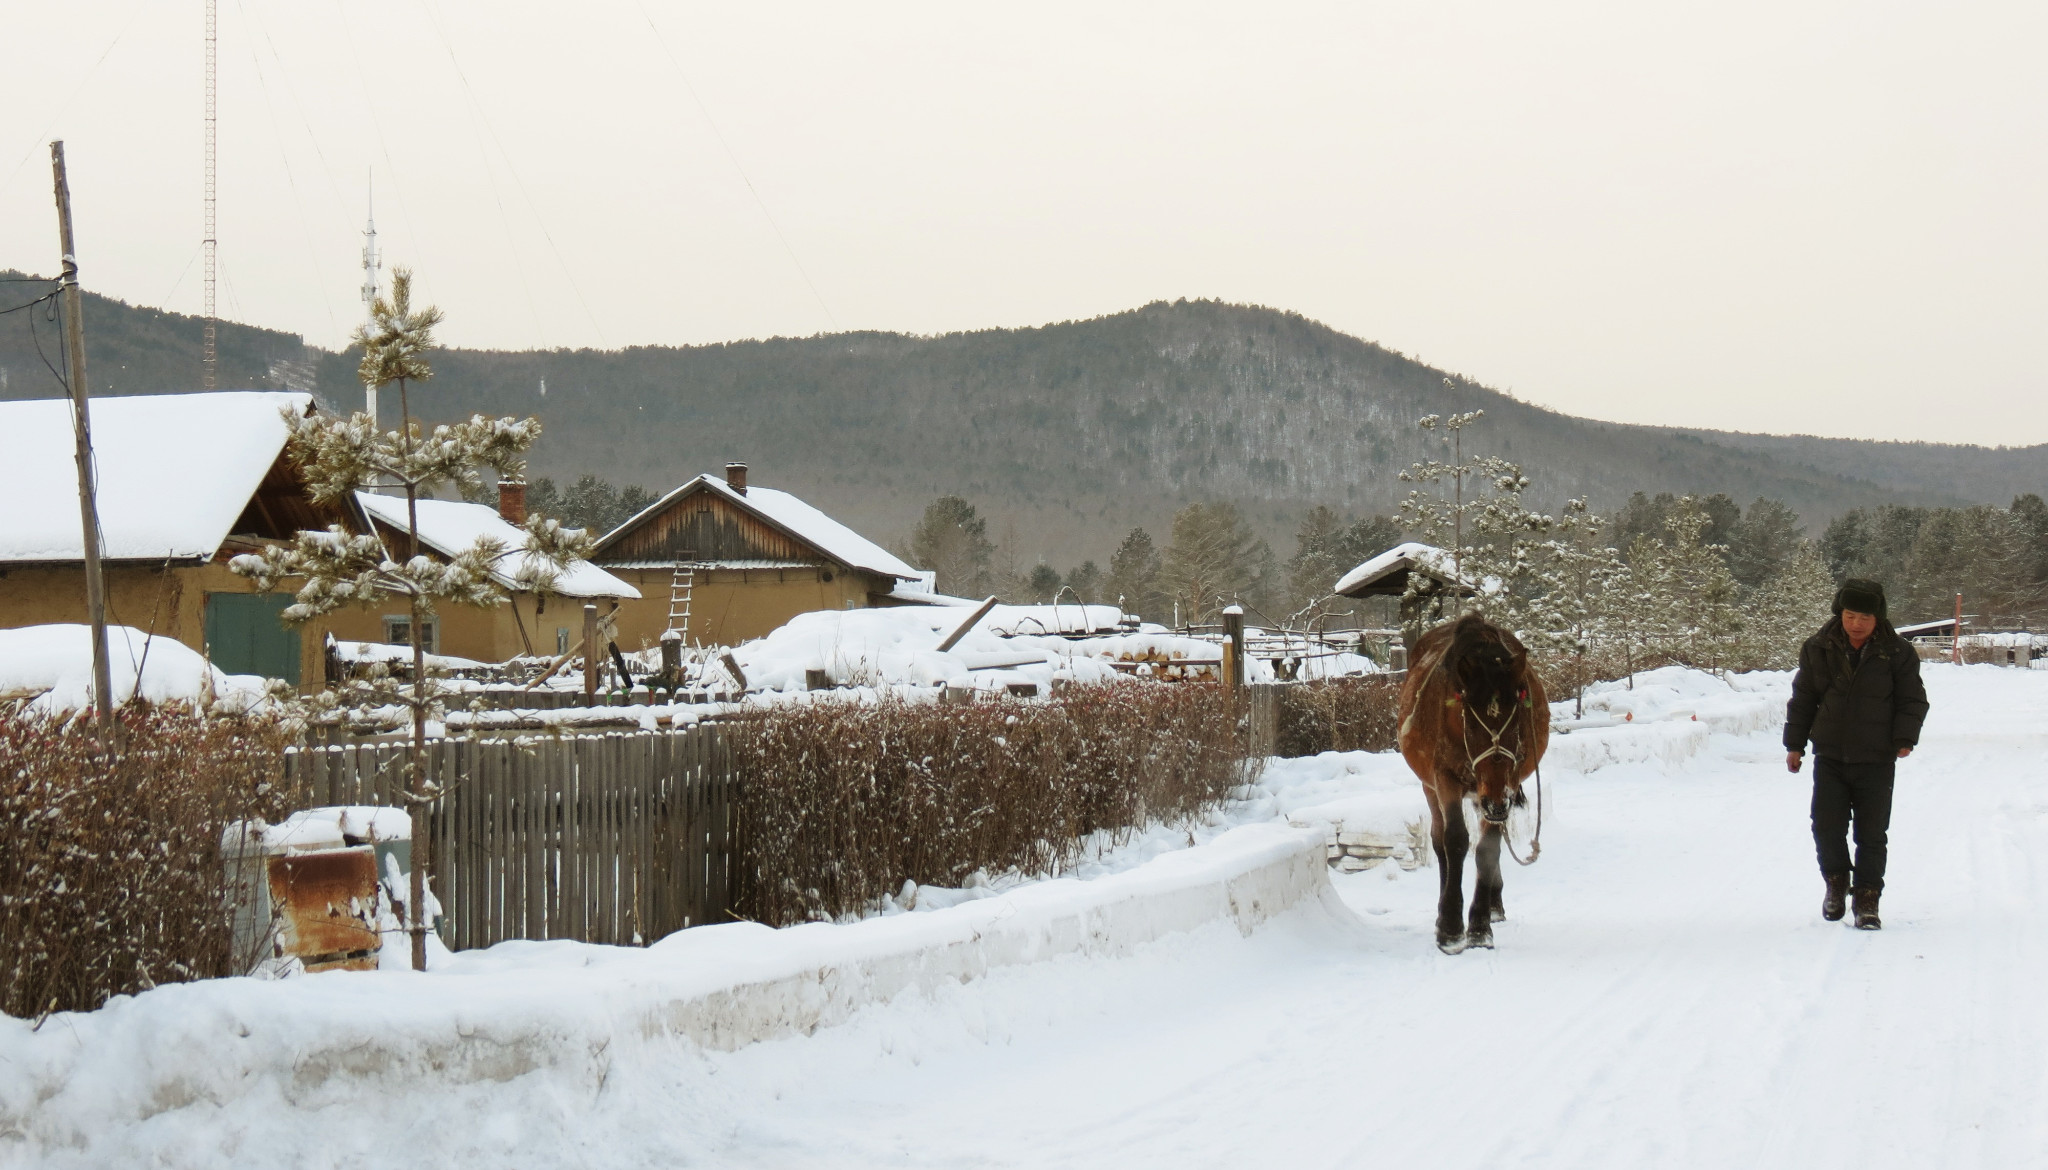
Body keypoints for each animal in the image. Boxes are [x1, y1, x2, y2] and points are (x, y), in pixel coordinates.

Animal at [1400, 610, 1540, 954]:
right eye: (1472, 724)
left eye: (1516, 720)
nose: (1495, 803)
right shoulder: (1445, 780)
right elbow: (1455, 840)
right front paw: (1450, 927)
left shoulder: (1501, 787)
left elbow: (1488, 849)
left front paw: (1479, 925)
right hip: (1434, 788)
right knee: (1439, 841)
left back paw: (1493, 903)